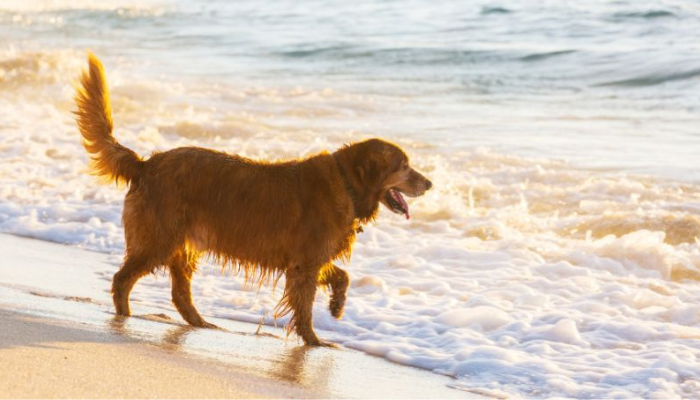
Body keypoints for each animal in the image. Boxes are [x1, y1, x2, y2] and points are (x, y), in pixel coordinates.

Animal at [72, 54, 432, 346]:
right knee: (122, 279)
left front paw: (337, 306)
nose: (429, 183)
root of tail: (147, 163)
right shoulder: (304, 264)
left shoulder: (309, 258)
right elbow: (305, 308)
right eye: (404, 166)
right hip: (158, 239)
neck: (346, 182)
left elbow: (342, 276)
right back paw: (125, 317)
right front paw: (314, 340)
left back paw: (200, 322)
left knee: (179, 293)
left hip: (182, 243)